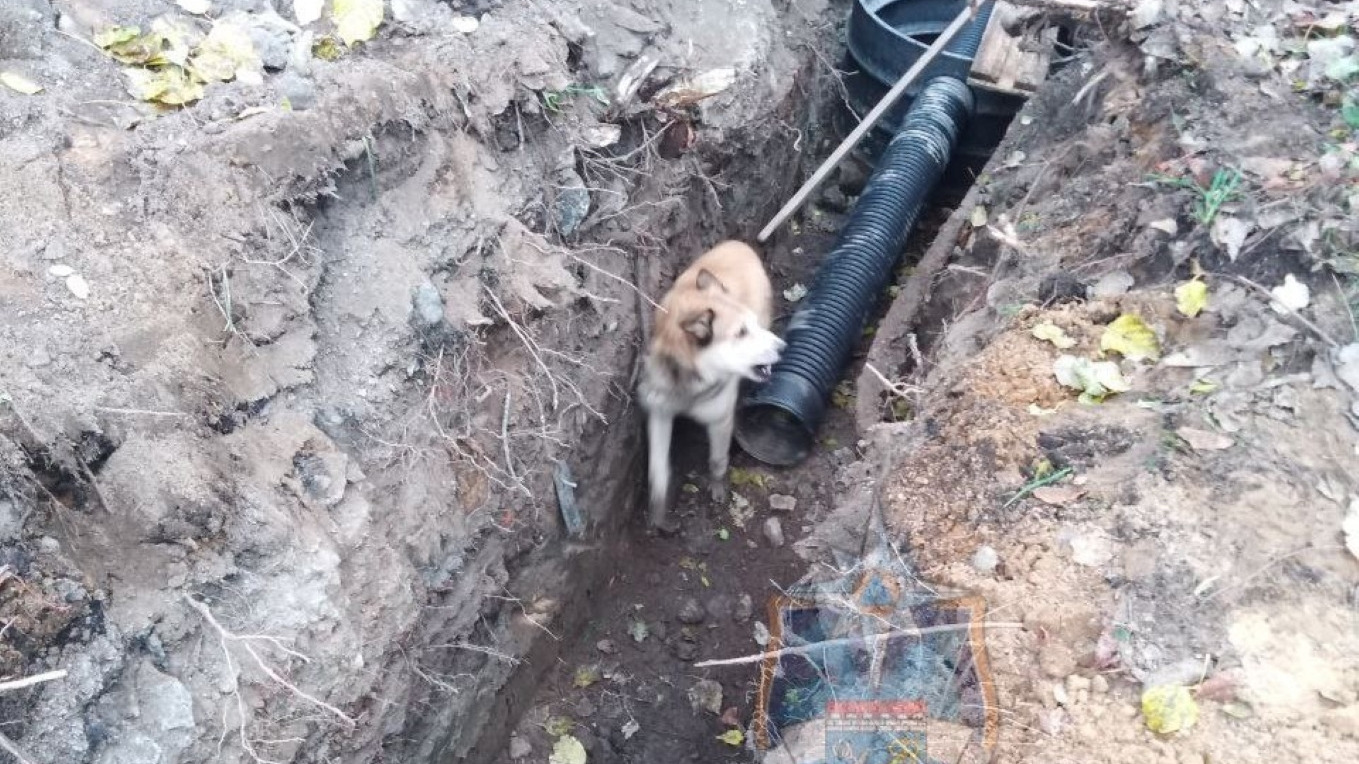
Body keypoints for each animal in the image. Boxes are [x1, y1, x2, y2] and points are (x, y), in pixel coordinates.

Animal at [636, 240, 788, 532]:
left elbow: (718, 460)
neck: (688, 383)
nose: (783, 347)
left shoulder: (720, 420)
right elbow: (657, 470)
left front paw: (718, 488)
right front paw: (658, 516)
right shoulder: (659, 413)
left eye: (750, 327)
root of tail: (738, 244)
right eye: (740, 333)